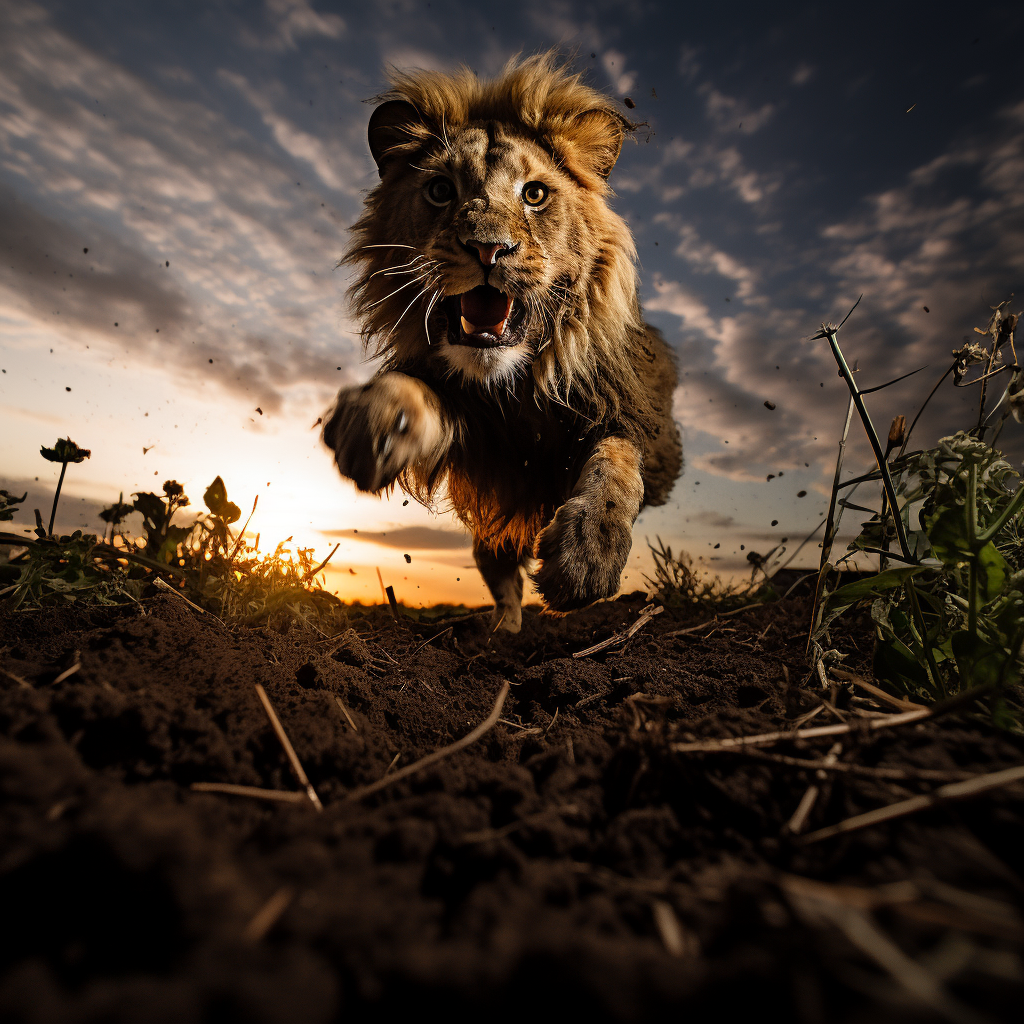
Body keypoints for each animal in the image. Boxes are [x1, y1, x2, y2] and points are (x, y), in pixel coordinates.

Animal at [323, 56, 684, 634]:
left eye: (534, 195)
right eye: (440, 190)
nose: (488, 249)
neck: (513, 388)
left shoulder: (625, 414)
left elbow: (616, 463)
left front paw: (586, 556)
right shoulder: (477, 433)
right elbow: (408, 391)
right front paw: (370, 425)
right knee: (496, 569)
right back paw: (502, 632)